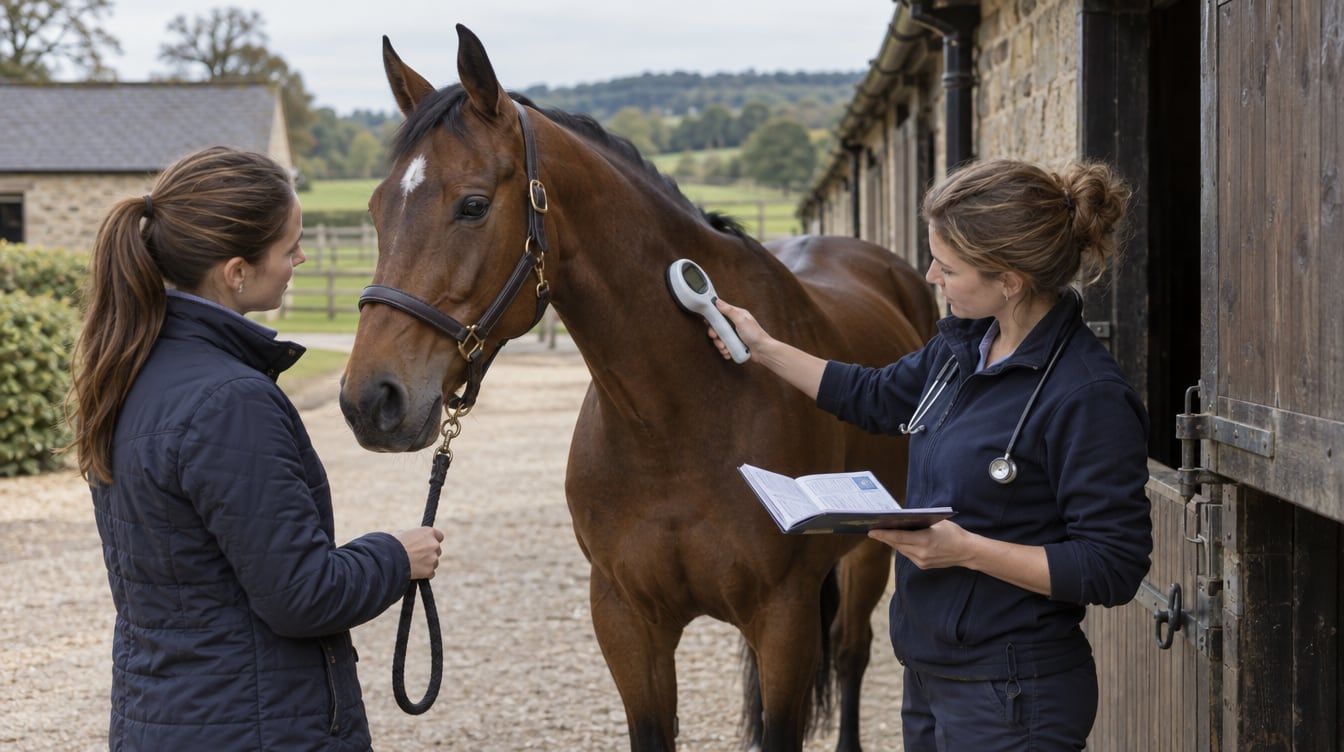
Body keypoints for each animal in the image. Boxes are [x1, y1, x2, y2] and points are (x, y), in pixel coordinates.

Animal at [338, 25, 937, 752]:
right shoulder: (626, 620)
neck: (677, 419)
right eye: (376, 210)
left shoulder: (785, 618)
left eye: (473, 205)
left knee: (852, 650)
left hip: (870, 549)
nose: (371, 400)